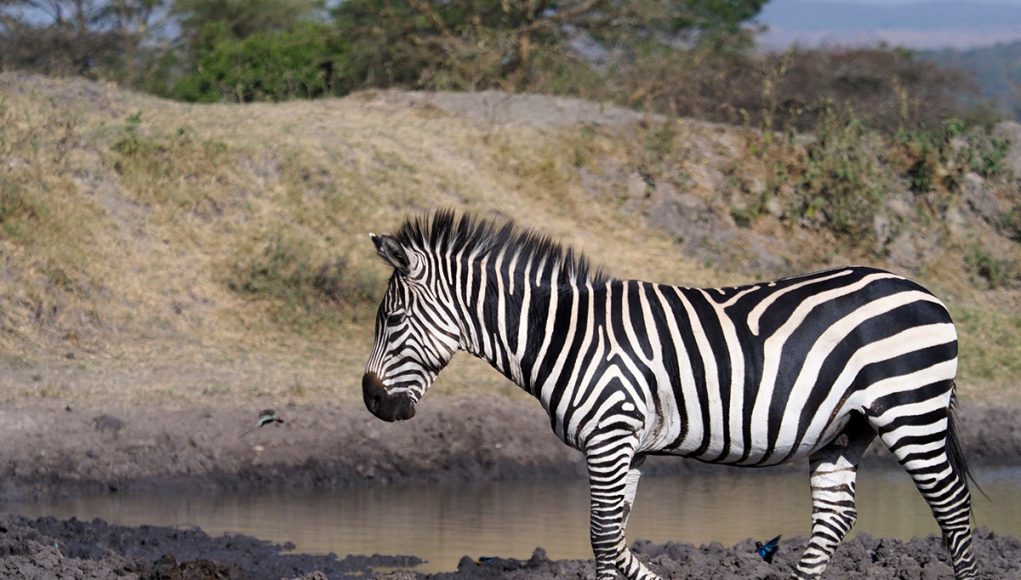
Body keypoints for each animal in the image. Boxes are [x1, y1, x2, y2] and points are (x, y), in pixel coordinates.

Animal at [363, 210, 976, 575]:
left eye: (392, 320)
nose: (372, 401)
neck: (564, 334)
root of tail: (926, 292)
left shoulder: (608, 437)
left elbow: (602, 538)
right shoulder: (625, 447)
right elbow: (613, 538)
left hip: (911, 412)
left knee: (952, 509)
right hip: (846, 428)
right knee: (833, 519)